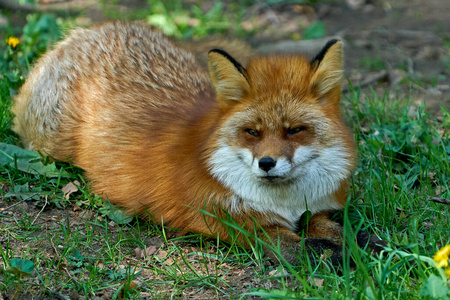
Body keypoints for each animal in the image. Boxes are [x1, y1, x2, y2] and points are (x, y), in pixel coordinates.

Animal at [10, 21, 376, 264]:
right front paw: (339, 254)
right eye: (252, 132)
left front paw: (366, 242)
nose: (266, 163)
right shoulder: (236, 222)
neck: (287, 202)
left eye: (295, 130)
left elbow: (335, 229)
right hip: (49, 145)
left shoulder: (319, 208)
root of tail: (92, 29)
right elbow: (302, 246)